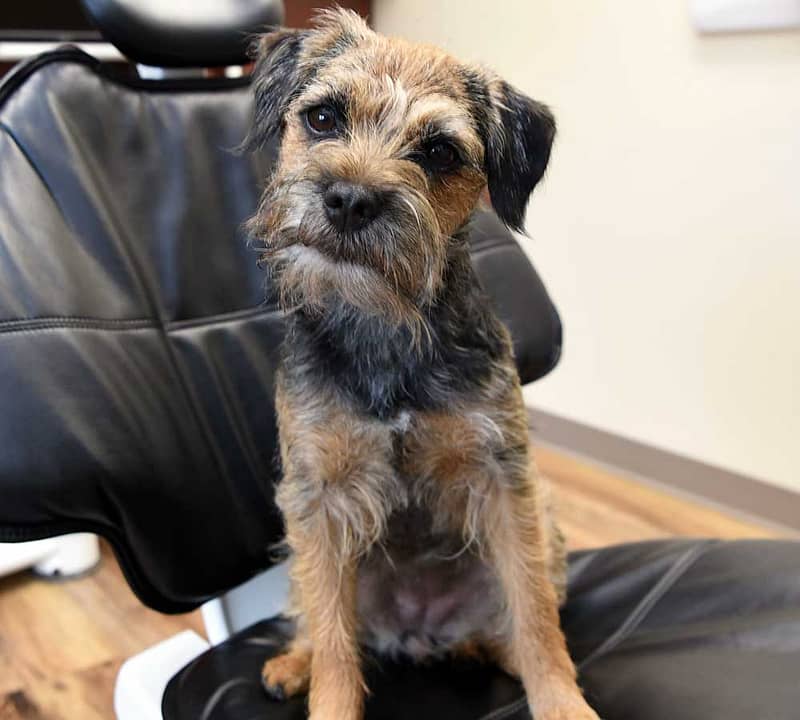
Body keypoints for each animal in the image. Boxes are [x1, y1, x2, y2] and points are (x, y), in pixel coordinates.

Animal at [250, 9, 600, 720]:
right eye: (323, 118)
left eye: (439, 152)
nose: (350, 199)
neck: (386, 325)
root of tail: (423, 634)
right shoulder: (318, 498)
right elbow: (334, 640)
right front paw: (325, 694)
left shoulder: (504, 482)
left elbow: (536, 618)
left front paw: (562, 702)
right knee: (316, 617)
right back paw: (293, 663)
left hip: (545, 525)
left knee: (512, 624)